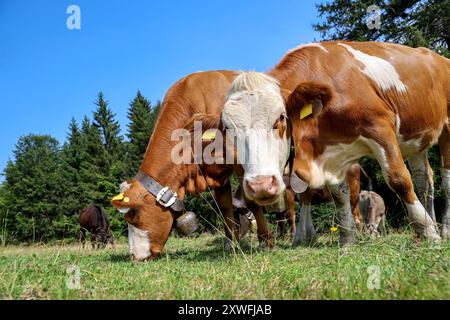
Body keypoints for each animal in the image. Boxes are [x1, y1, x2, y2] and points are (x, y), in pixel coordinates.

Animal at [220, 41, 448, 244]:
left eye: (281, 118)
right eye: (228, 128)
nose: (260, 186)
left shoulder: (380, 127)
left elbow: (399, 179)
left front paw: (429, 232)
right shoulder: (330, 154)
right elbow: (339, 195)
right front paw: (347, 240)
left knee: (444, 178)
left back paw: (442, 229)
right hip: (416, 141)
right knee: (424, 179)